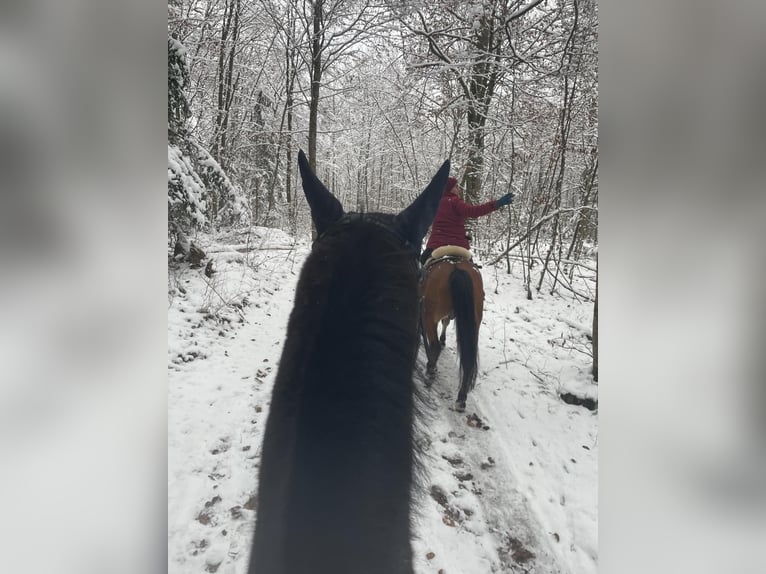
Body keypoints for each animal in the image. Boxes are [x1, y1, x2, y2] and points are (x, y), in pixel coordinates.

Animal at [420, 250, 486, 412]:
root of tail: (456, 268)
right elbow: (446, 322)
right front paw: (444, 339)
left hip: (429, 316)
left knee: (434, 346)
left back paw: (430, 371)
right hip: (475, 319)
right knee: (469, 357)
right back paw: (461, 399)